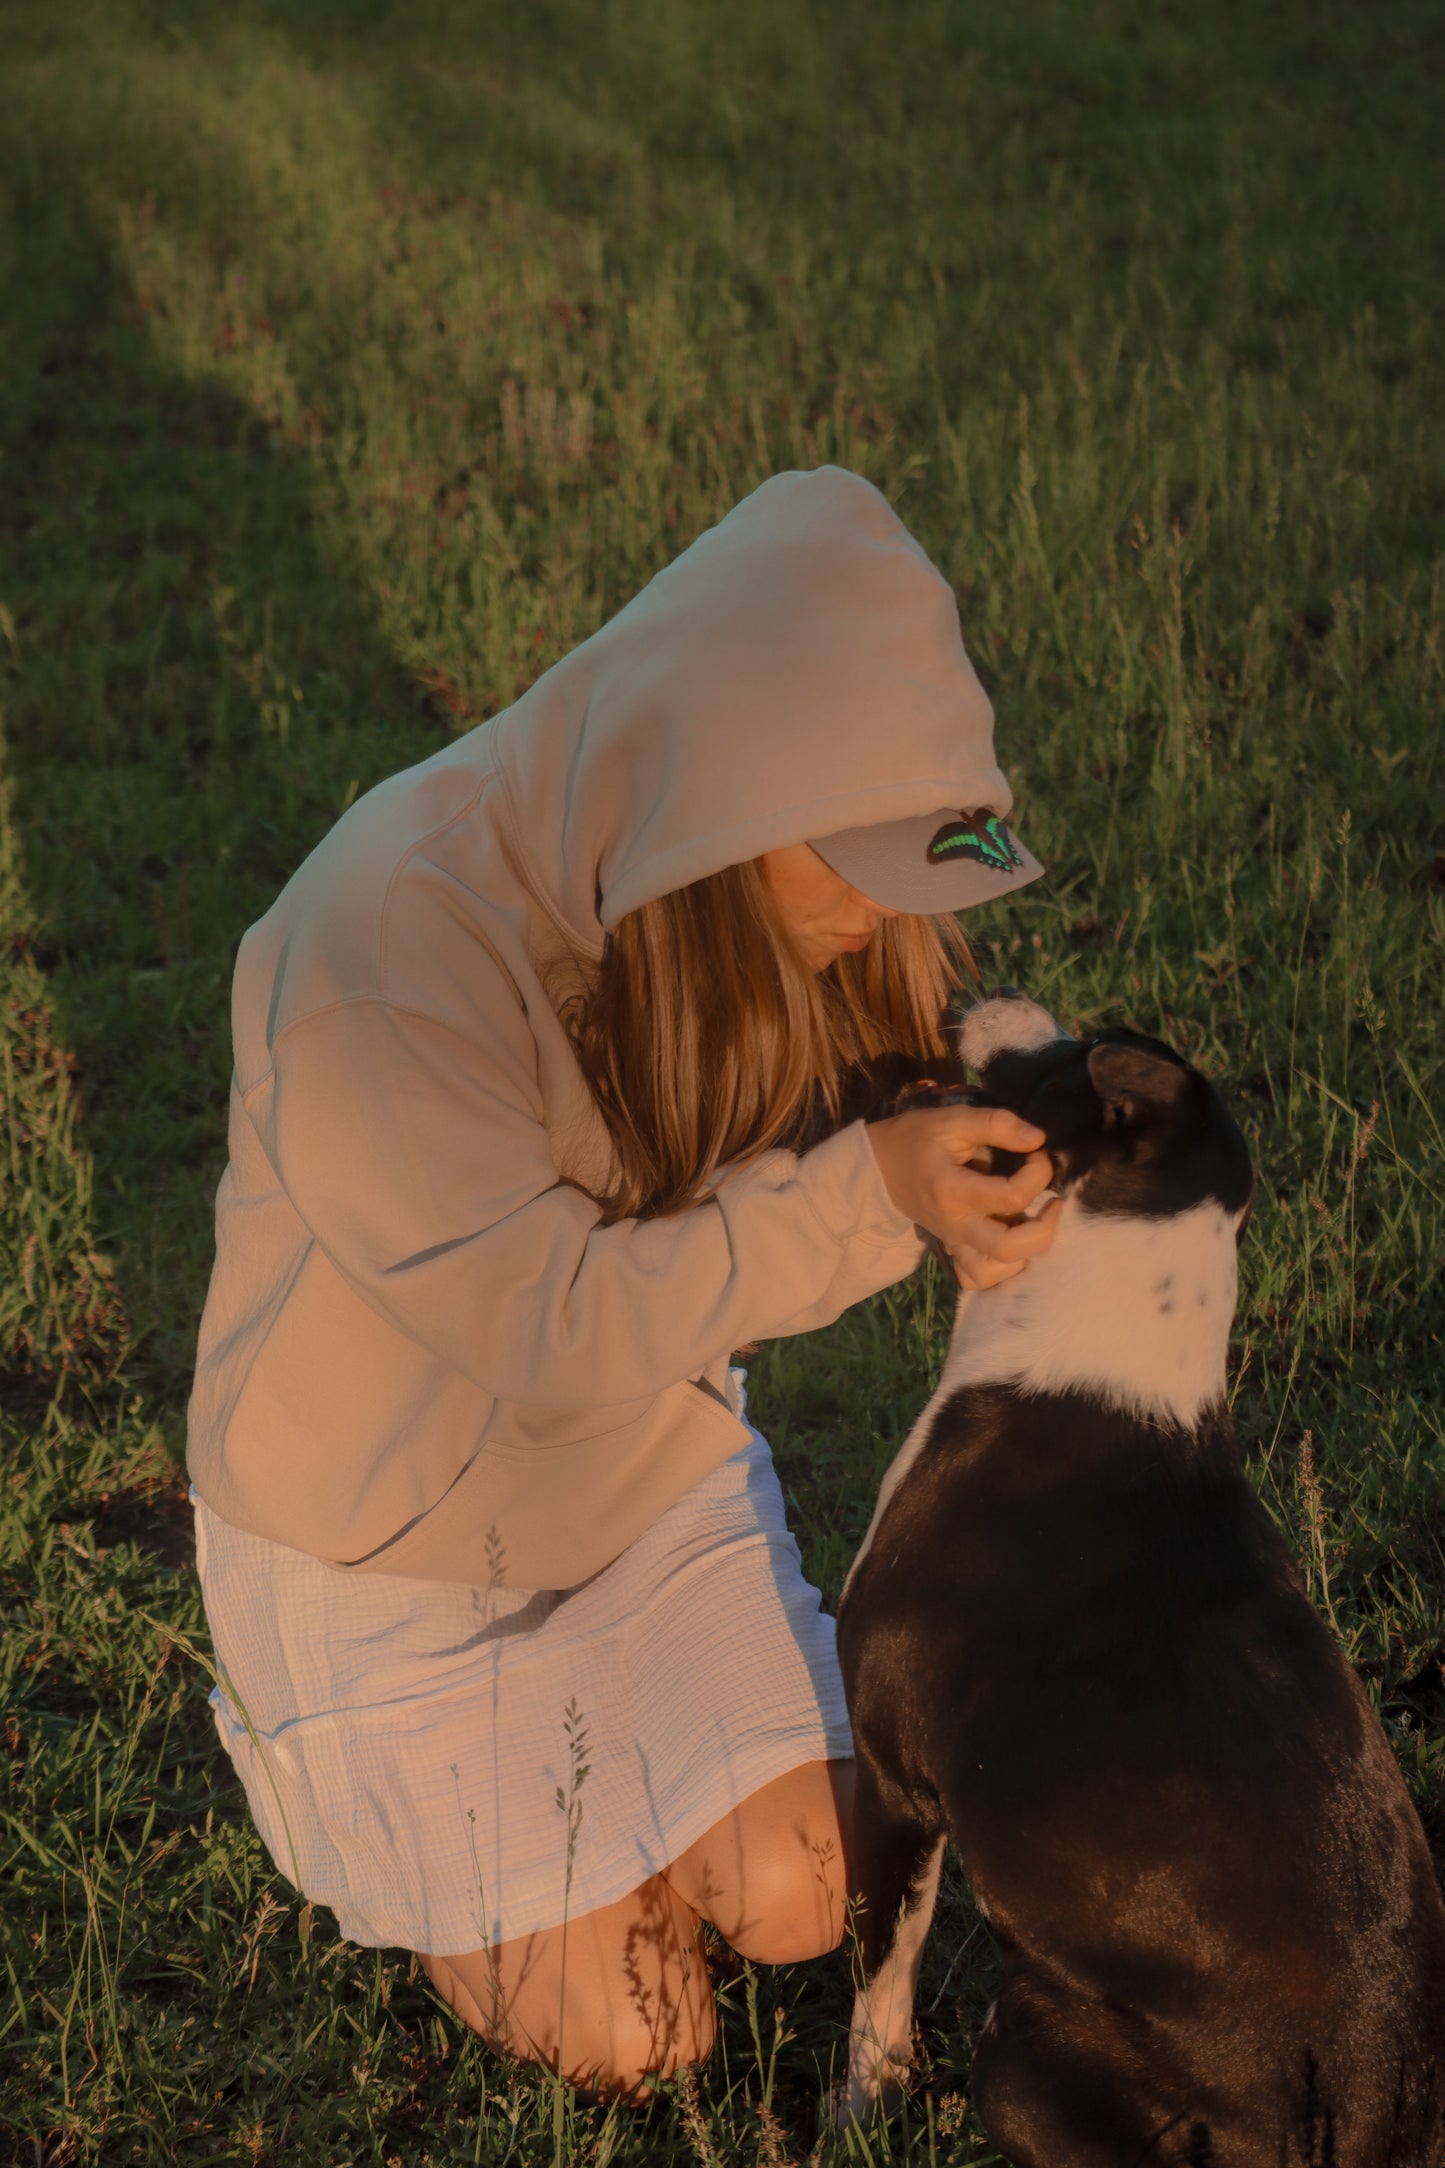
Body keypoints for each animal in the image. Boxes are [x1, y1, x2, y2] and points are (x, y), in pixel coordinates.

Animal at [836, 992, 1445, 2150]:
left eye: (1070, 1047)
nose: (992, 993)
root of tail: (1349, 2114)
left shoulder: (891, 1776)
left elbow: (877, 1977)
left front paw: (852, 2121)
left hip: (1020, 2045)